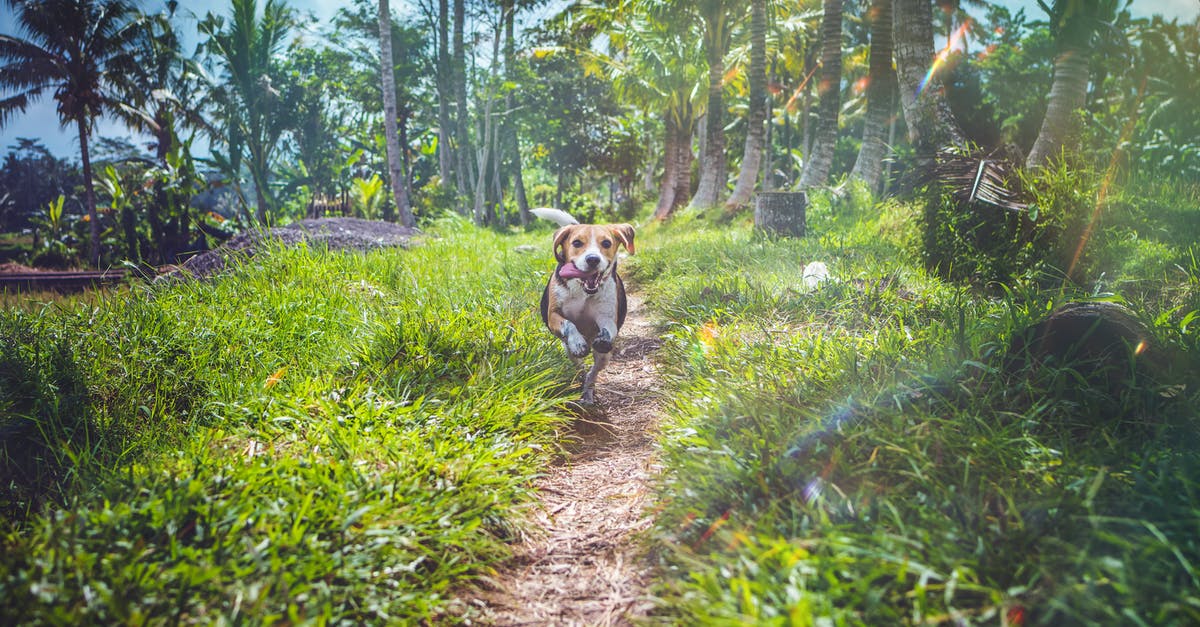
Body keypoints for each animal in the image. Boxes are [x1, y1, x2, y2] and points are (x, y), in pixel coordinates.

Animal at [530, 207, 633, 403]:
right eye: (577, 243)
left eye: (606, 243)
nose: (593, 259)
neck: (583, 291)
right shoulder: (553, 316)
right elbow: (568, 324)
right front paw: (578, 342)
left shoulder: (607, 316)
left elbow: (608, 328)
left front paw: (604, 337)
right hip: (568, 350)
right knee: (579, 366)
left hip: (603, 357)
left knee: (593, 372)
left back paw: (588, 392)